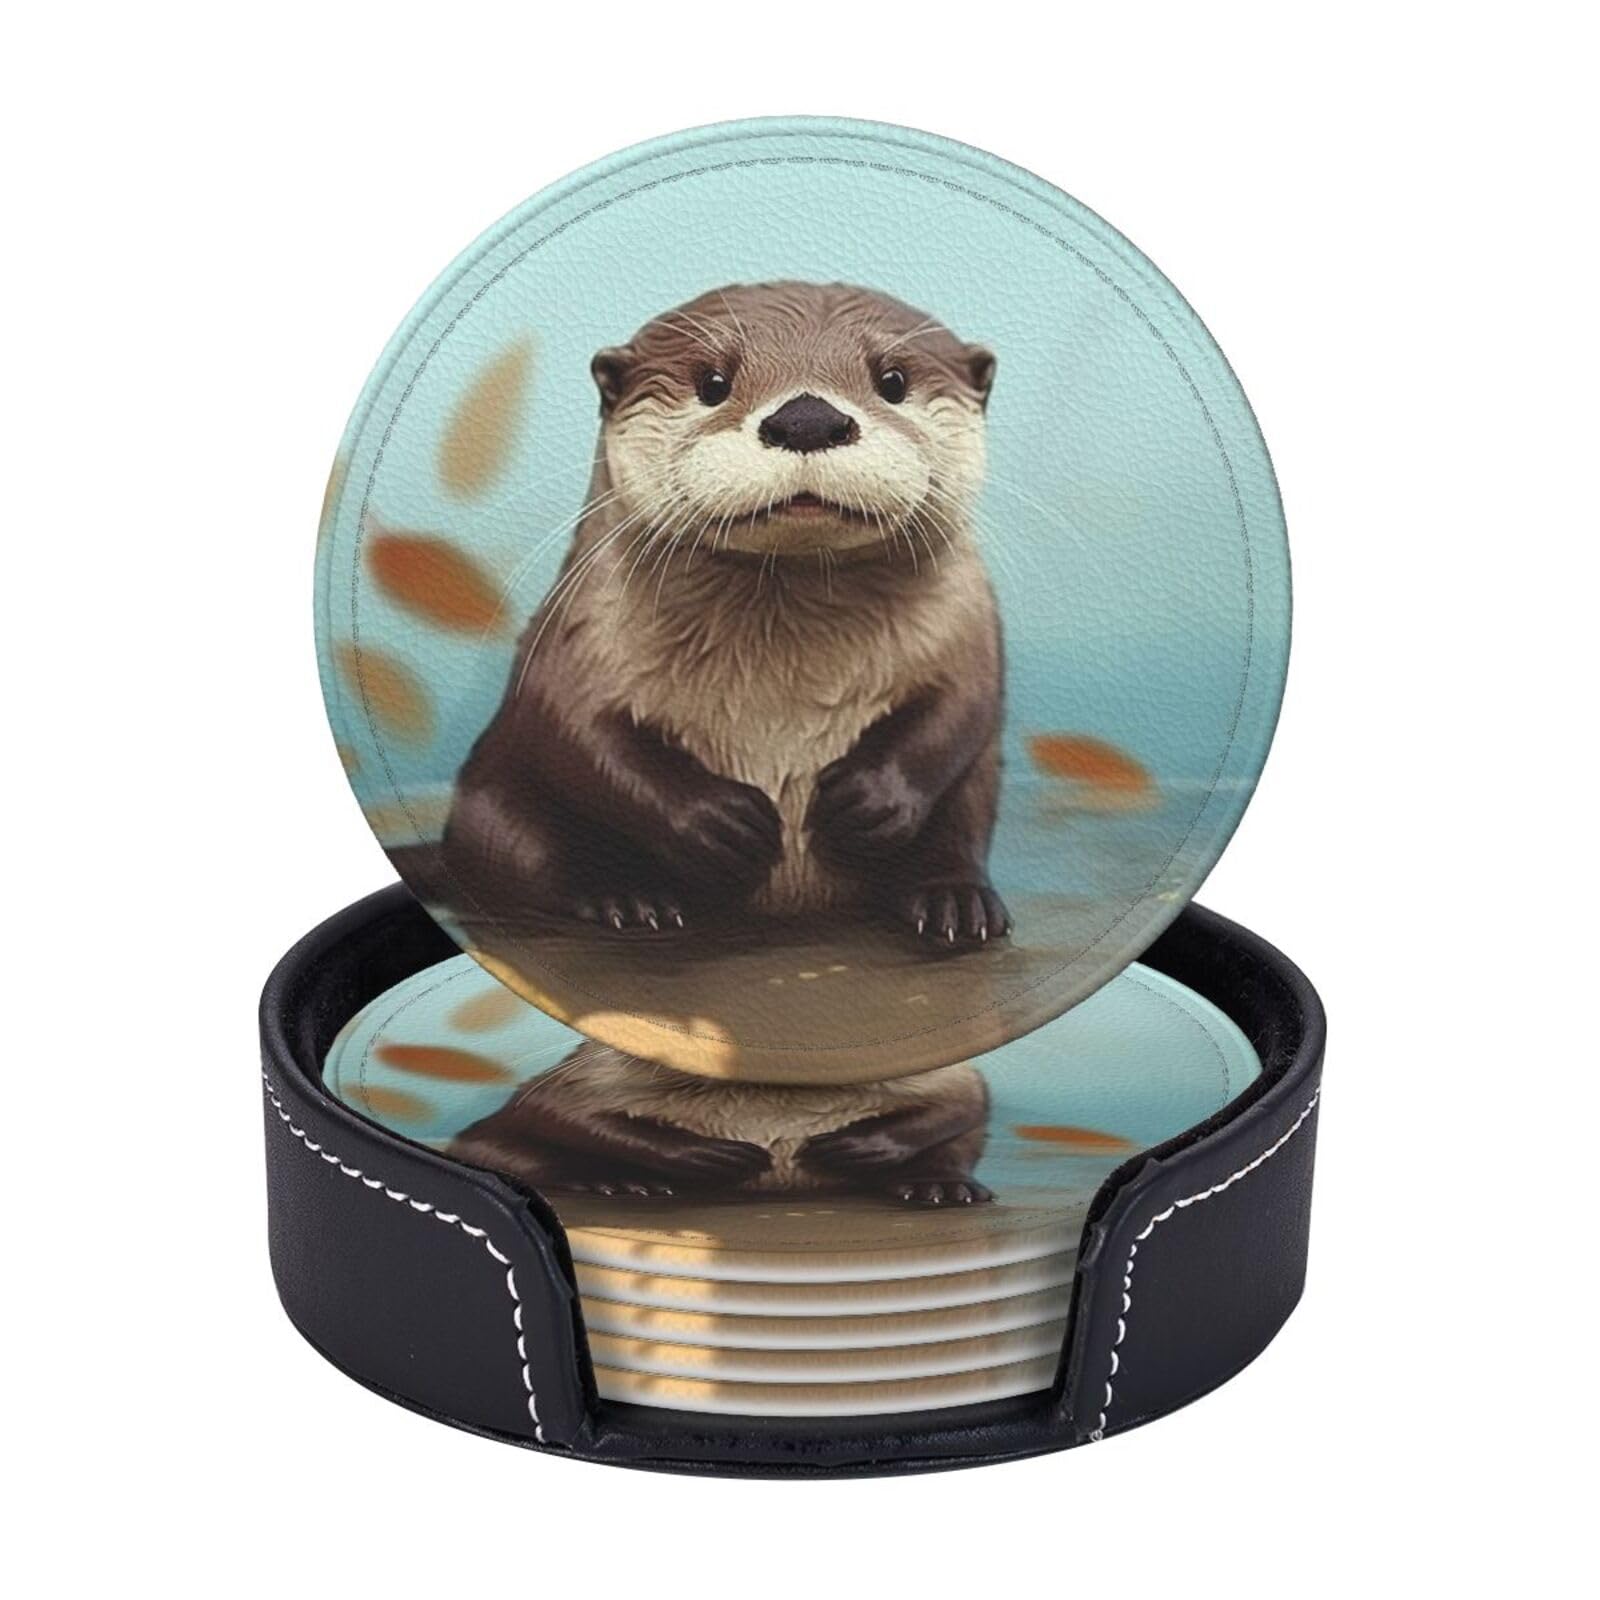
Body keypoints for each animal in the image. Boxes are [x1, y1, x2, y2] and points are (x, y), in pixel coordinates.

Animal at [438, 283, 1009, 1207]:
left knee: (959, 818)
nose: (809, 417)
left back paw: (952, 909)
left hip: (974, 798)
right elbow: (582, 735)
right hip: (495, 811)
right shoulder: (576, 641)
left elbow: (957, 713)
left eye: (891, 379)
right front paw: (722, 825)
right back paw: (626, 902)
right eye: (712, 382)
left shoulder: (970, 625)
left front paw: (863, 802)